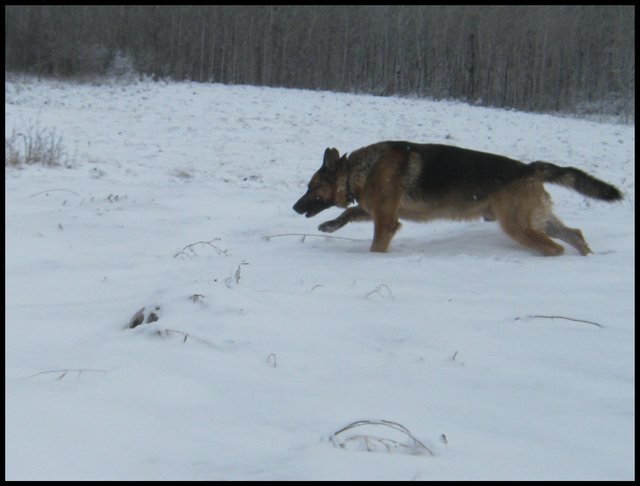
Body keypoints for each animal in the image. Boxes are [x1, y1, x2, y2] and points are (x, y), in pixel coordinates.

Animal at [292, 140, 624, 254]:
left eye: (310, 187)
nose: (294, 207)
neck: (359, 170)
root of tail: (530, 168)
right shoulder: (376, 209)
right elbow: (349, 212)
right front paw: (331, 225)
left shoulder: (386, 221)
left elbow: (376, 246)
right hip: (538, 221)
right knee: (575, 234)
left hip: (518, 226)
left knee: (556, 247)